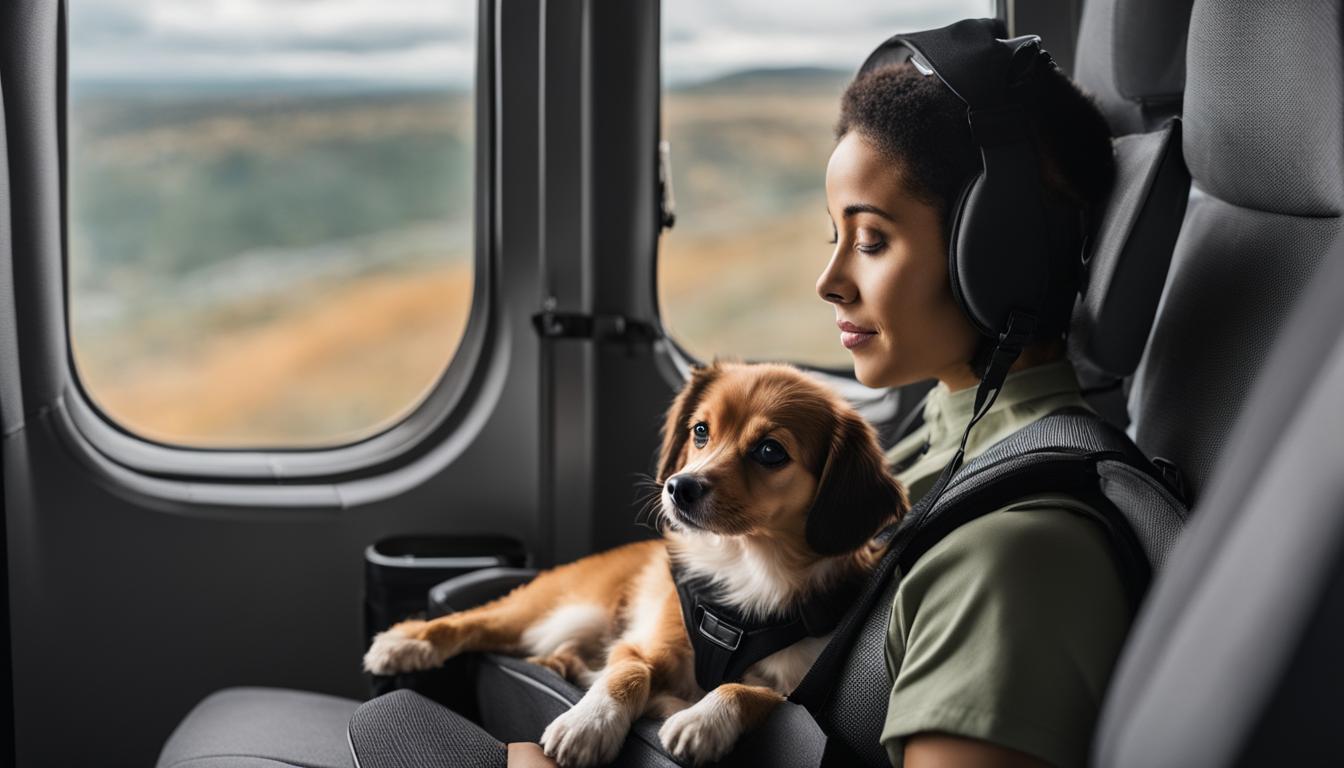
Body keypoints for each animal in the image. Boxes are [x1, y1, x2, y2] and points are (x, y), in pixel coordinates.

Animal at [362, 363, 908, 768]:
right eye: (701, 431)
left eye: (770, 451)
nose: (678, 487)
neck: (748, 569)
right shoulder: (644, 644)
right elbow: (626, 673)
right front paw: (588, 724)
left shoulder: (799, 693)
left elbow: (747, 691)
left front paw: (702, 720)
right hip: (554, 611)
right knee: (474, 621)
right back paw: (405, 643)